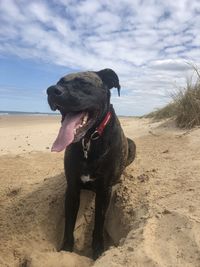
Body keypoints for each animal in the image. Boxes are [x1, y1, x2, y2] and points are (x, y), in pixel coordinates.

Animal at [46, 69, 136, 260]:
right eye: (59, 81)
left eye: (83, 83)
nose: (51, 90)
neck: (88, 140)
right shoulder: (72, 189)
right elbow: (69, 223)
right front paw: (66, 248)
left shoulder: (104, 192)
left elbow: (99, 224)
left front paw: (98, 251)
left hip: (132, 145)